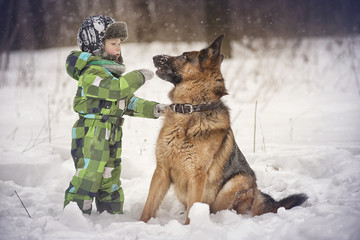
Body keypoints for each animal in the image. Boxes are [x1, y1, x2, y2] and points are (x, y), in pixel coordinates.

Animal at [140, 34, 306, 224]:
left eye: (184, 56)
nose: (155, 56)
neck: (191, 111)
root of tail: (257, 192)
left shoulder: (197, 177)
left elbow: (192, 211)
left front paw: (190, 227)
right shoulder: (161, 171)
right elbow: (147, 208)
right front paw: (140, 224)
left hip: (235, 183)